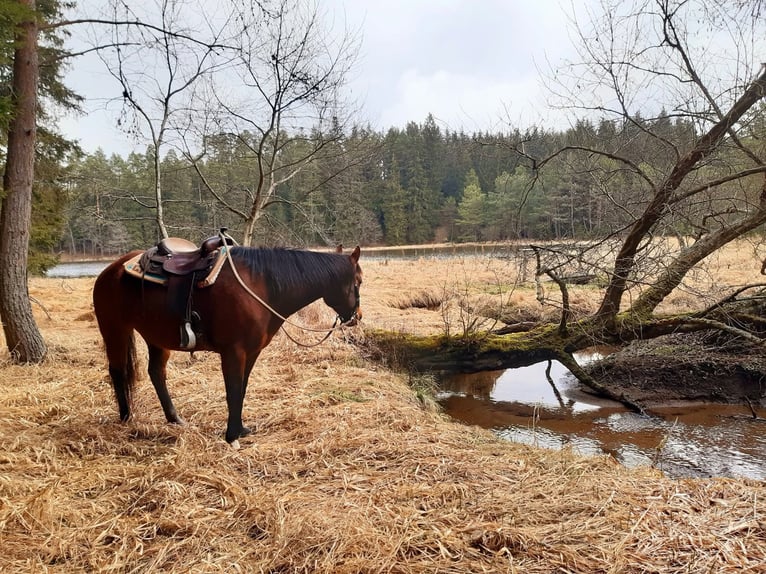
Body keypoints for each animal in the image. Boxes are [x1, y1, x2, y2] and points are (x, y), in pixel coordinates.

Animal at [92, 242, 362, 444]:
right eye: (358, 281)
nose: (357, 317)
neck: (261, 286)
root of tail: (111, 269)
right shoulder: (234, 352)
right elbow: (232, 390)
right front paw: (232, 435)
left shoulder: (252, 352)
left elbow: (241, 389)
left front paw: (240, 429)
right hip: (115, 329)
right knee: (118, 372)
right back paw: (126, 417)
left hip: (156, 337)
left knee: (156, 372)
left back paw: (174, 419)